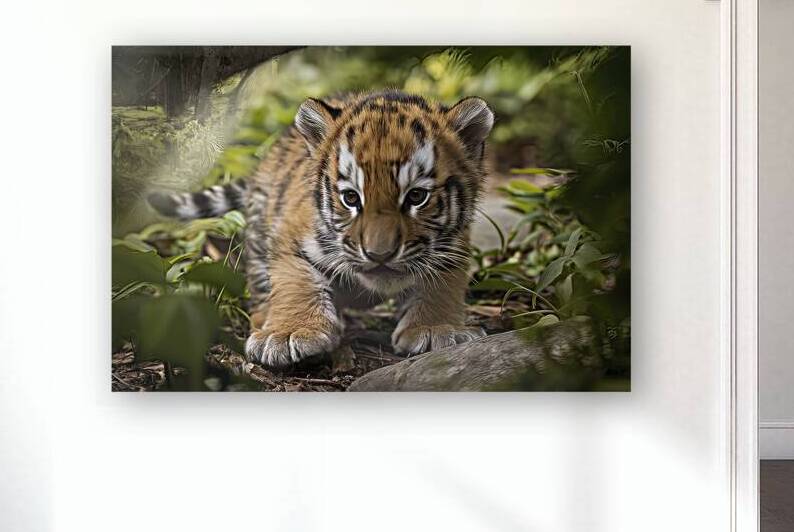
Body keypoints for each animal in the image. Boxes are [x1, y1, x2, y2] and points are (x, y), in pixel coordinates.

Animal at [148, 90, 495, 367]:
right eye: (351, 198)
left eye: (416, 196)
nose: (379, 255)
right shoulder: (290, 239)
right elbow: (296, 282)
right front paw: (287, 333)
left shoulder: (451, 246)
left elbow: (441, 284)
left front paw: (437, 329)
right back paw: (264, 321)